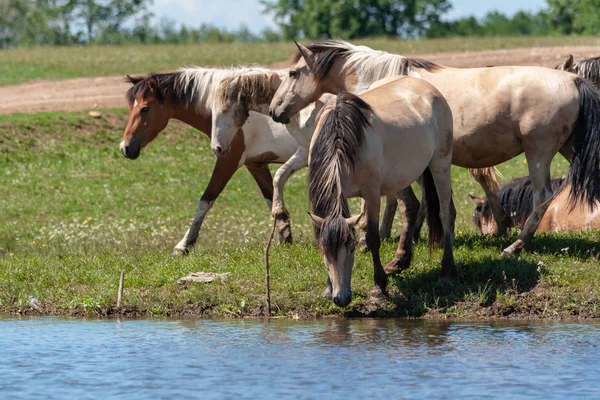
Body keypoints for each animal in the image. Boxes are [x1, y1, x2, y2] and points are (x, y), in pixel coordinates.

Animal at [119, 66, 300, 253]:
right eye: (130, 108)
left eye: (145, 109)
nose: (125, 148)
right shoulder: (256, 165)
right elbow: (271, 198)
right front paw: (285, 236)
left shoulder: (228, 161)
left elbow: (205, 201)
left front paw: (184, 245)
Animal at [304, 79, 454, 306]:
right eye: (324, 252)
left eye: (351, 248)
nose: (341, 299)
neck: (341, 139)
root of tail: (428, 86)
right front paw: (328, 288)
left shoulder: (372, 193)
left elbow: (373, 238)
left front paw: (379, 285)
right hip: (403, 176)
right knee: (410, 207)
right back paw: (399, 262)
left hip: (440, 163)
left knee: (445, 213)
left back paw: (446, 270)